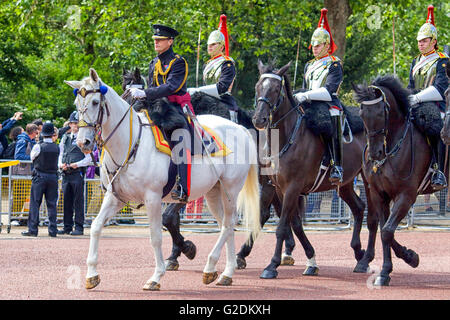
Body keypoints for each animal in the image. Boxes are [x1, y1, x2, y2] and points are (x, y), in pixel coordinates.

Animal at [63, 69, 260, 292]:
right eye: (77, 103)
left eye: (96, 102)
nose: (83, 142)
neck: (130, 143)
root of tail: (240, 128)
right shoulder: (116, 198)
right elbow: (96, 227)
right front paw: (92, 275)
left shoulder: (153, 198)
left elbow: (156, 236)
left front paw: (156, 276)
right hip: (213, 192)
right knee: (226, 225)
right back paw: (225, 272)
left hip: (230, 190)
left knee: (229, 223)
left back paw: (213, 265)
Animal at [120, 69, 296, 272]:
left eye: (133, 100)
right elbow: (172, 218)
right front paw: (175, 254)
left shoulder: (187, 184)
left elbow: (169, 217)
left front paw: (186, 248)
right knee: (279, 211)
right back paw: (285, 250)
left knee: (267, 213)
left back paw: (246, 254)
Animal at [253, 60, 376, 280]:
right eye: (258, 87)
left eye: (275, 89)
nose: (259, 119)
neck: (287, 138)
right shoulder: (279, 188)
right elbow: (294, 224)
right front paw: (311, 261)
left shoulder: (292, 187)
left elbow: (282, 226)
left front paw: (272, 265)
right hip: (345, 184)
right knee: (358, 208)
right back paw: (358, 251)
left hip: (368, 181)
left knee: (372, 218)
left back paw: (366, 259)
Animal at [352, 74, 442, 284]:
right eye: (362, 114)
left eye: (380, 114)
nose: (375, 154)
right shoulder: (379, 194)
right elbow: (383, 227)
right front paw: (402, 260)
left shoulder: (406, 195)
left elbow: (387, 231)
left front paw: (393, 266)